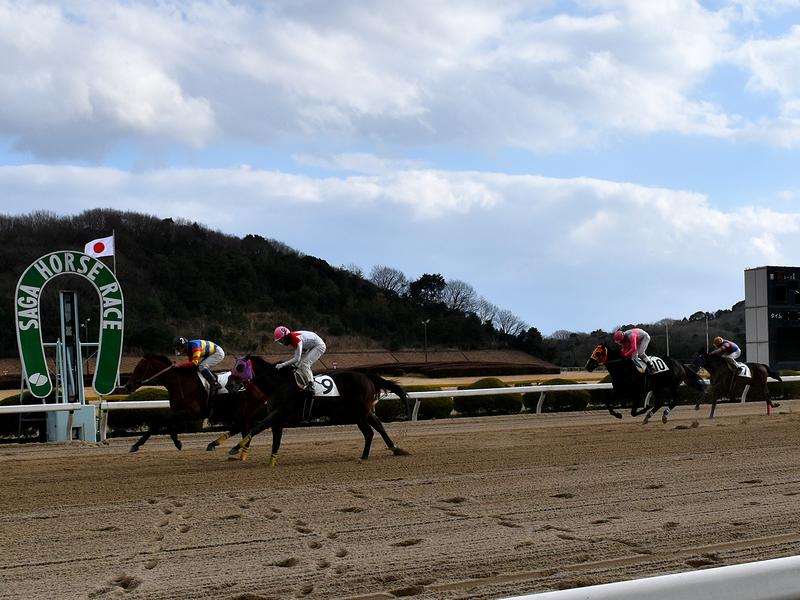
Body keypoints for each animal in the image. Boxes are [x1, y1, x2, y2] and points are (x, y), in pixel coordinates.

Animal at [124, 355, 267, 453]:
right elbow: (168, 424)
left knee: (247, 427)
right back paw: (216, 444)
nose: (128, 386)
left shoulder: (192, 412)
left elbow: (159, 422)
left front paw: (136, 445)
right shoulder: (177, 411)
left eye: (140, 368)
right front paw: (177, 442)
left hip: (246, 410)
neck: (180, 383)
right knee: (243, 427)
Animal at [225, 355, 412, 465]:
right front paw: (272, 461)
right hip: (364, 411)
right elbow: (275, 439)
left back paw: (364, 456)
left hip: (357, 413)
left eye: (240, 367)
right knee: (378, 425)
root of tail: (366, 376)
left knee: (369, 432)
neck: (279, 385)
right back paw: (395, 448)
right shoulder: (278, 418)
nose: (228, 384)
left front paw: (234, 448)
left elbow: (258, 427)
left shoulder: (280, 412)